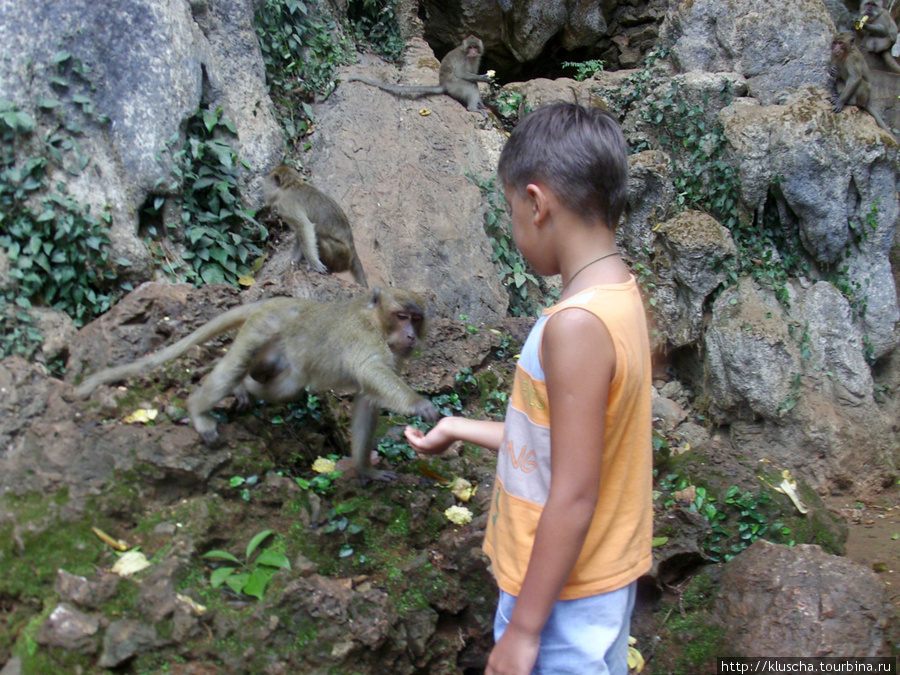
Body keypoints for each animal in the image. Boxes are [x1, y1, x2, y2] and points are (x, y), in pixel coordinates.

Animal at [75, 288, 442, 484]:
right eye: (401, 316)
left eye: (417, 319)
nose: (411, 335)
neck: (376, 322)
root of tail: (279, 301)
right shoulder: (361, 336)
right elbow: (370, 371)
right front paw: (420, 405)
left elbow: (367, 399)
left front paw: (365, 470)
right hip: (261, 328)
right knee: (234, 367)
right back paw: (199, 409)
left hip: (282, 352)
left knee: (283, 386)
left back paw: (243, 389)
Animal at [346, 35, 488, 113]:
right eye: (470, 47)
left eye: (475, 47)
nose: (473, 52)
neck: (469, 57)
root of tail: (443, 84)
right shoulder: (463, 59)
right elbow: (461, 73)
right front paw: (485, 79)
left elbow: (472, 75)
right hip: (455, 86)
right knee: (470, 86)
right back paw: (473, 109)